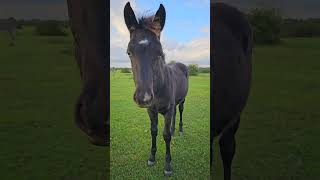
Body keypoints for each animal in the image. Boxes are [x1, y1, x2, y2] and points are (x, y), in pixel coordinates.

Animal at [123, 1, 189, 176]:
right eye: (129, 52)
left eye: (160, 53)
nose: (143, 97)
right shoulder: (151, 110)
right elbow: (154, 131)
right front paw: (152, 157)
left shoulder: (167, 110)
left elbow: (165, 136)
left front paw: (168, 165)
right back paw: (173, 129)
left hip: (181, 101)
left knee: (179, 111)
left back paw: (179, 130)